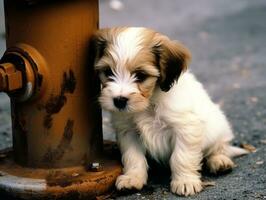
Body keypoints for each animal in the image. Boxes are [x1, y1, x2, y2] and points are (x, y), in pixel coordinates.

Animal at [90, 26, 248, 195]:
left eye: (141, 75)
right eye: (108, 72)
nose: (119, 100)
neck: (149, 103)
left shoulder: (186, 128)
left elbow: (181, 157)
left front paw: (185, 181)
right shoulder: (128, 131)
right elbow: (133, 157)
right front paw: (132, 178)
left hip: (217, 128)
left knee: (220, 147)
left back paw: (219, 160)